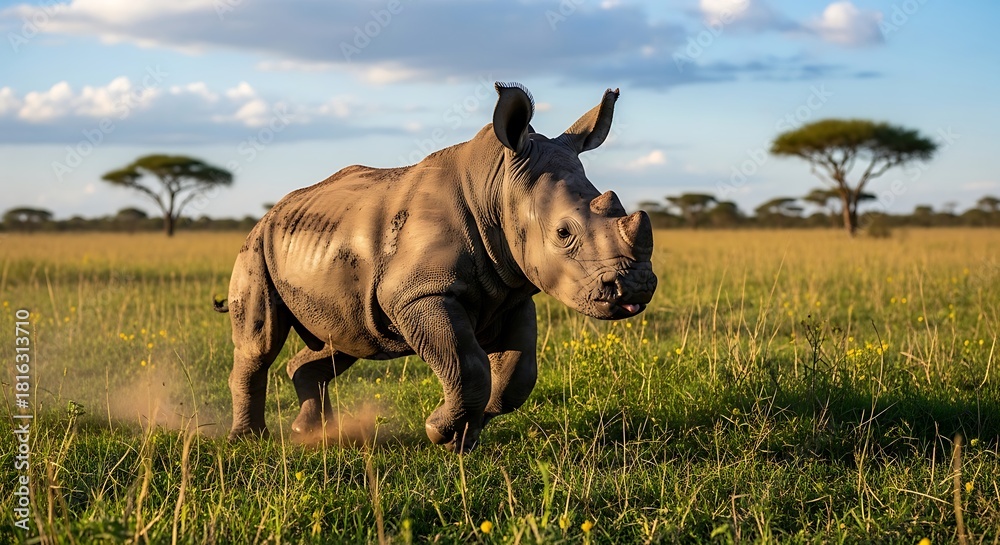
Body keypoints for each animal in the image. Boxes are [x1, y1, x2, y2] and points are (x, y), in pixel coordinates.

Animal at [215, 82, 656, 452]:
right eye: (564, 233)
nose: (636, 288)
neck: (497, 188)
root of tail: (272, 212)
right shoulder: (419, 292)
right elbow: (468, 365)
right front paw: (441, 432)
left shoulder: (512, 290)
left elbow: (518, 374)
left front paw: (470, 431)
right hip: (256, 247)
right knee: (259, 345)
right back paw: (248, 440)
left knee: (343, 340)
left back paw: (310, 434)